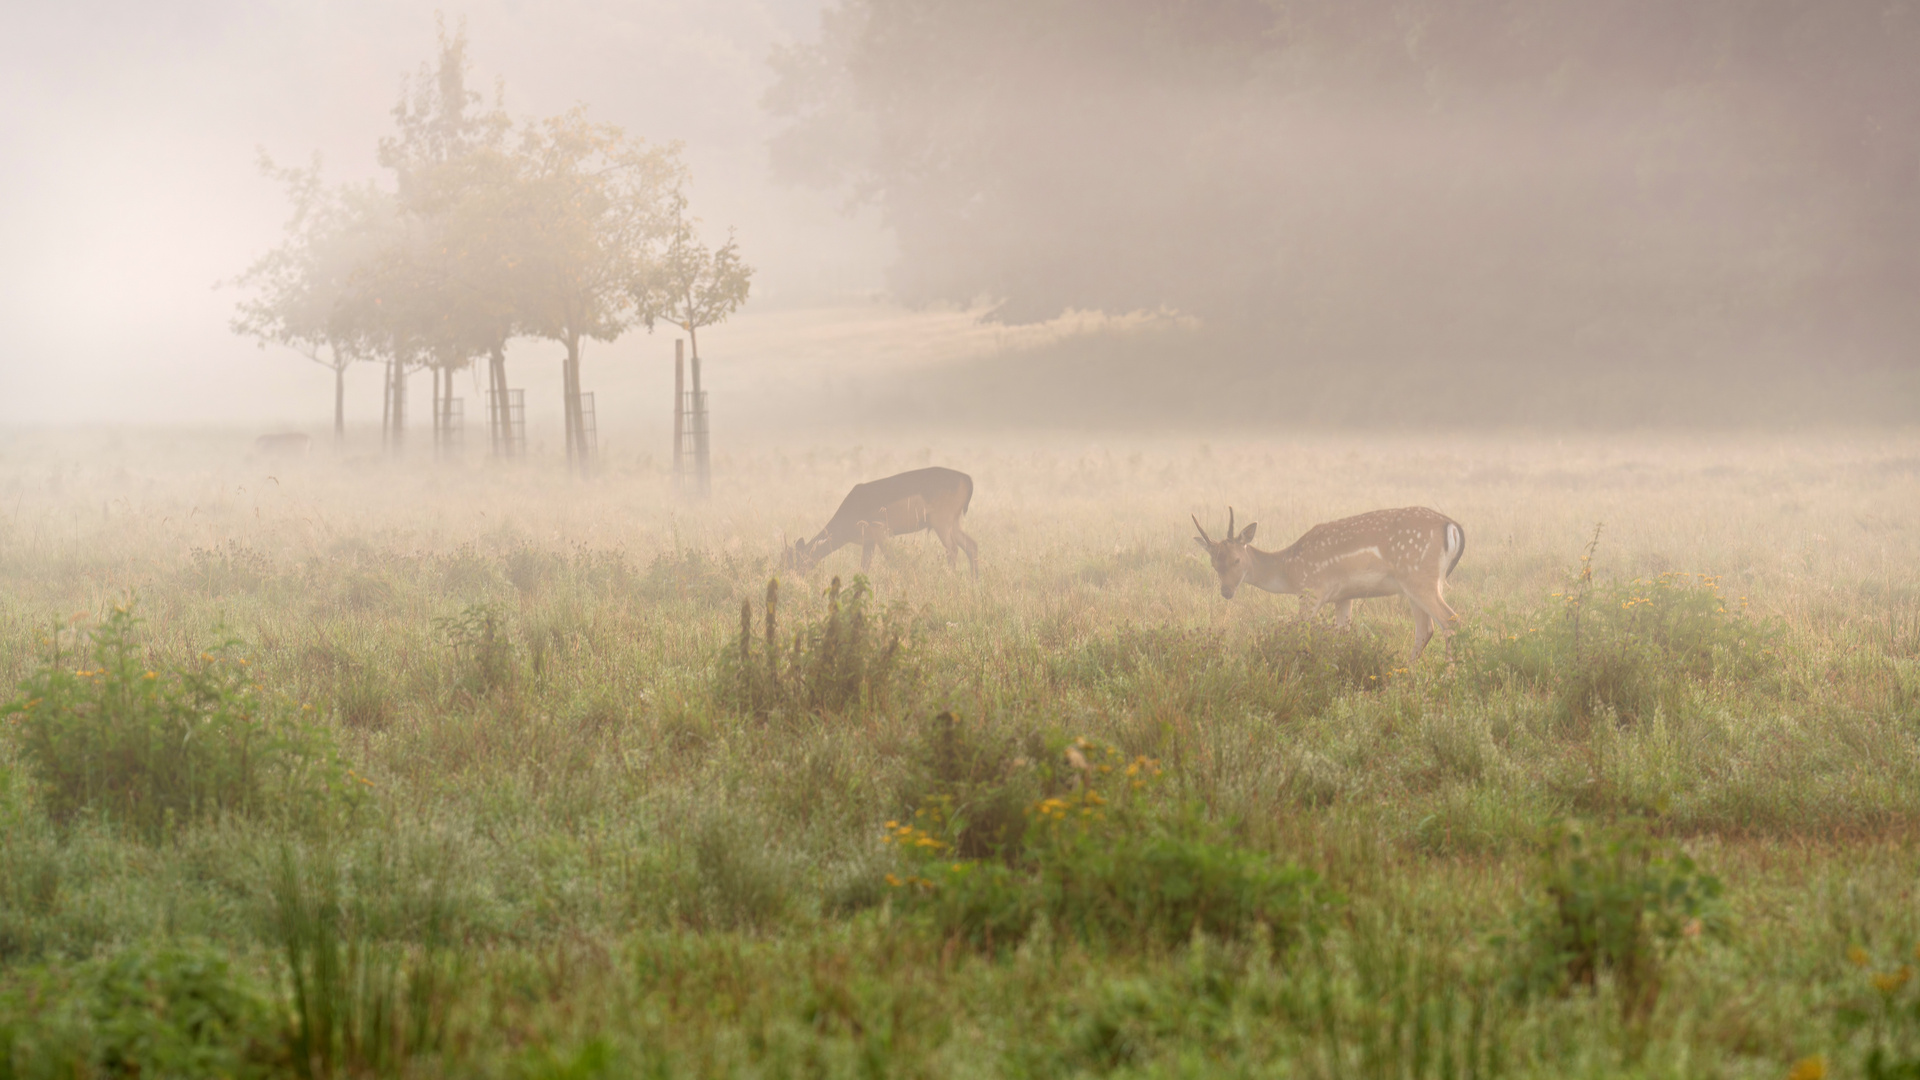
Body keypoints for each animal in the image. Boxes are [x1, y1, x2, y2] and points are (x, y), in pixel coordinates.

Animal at [791, 466, 983, 576]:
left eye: (793, 561)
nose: (789, 576)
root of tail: (967, 479)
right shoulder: (868, 541)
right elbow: (864, 567)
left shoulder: (880, 532)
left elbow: (893, 558)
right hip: (953, 523)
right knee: (971, 545)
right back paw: (974, 580)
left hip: (941, 522)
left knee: (953, 549)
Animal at [1182, 503, 1466, 657]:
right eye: (1213, 564)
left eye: (1236, 560)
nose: (1227, 591)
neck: (1290, 569)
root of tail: (1453, 526)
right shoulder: (1343, 596)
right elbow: (1342, 634)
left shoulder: (1312, 589)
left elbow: (1300, 631)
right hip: (1414, 586)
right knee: (1426, 629)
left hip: (1421, 578)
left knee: (1450, 620)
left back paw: (1450, 677)